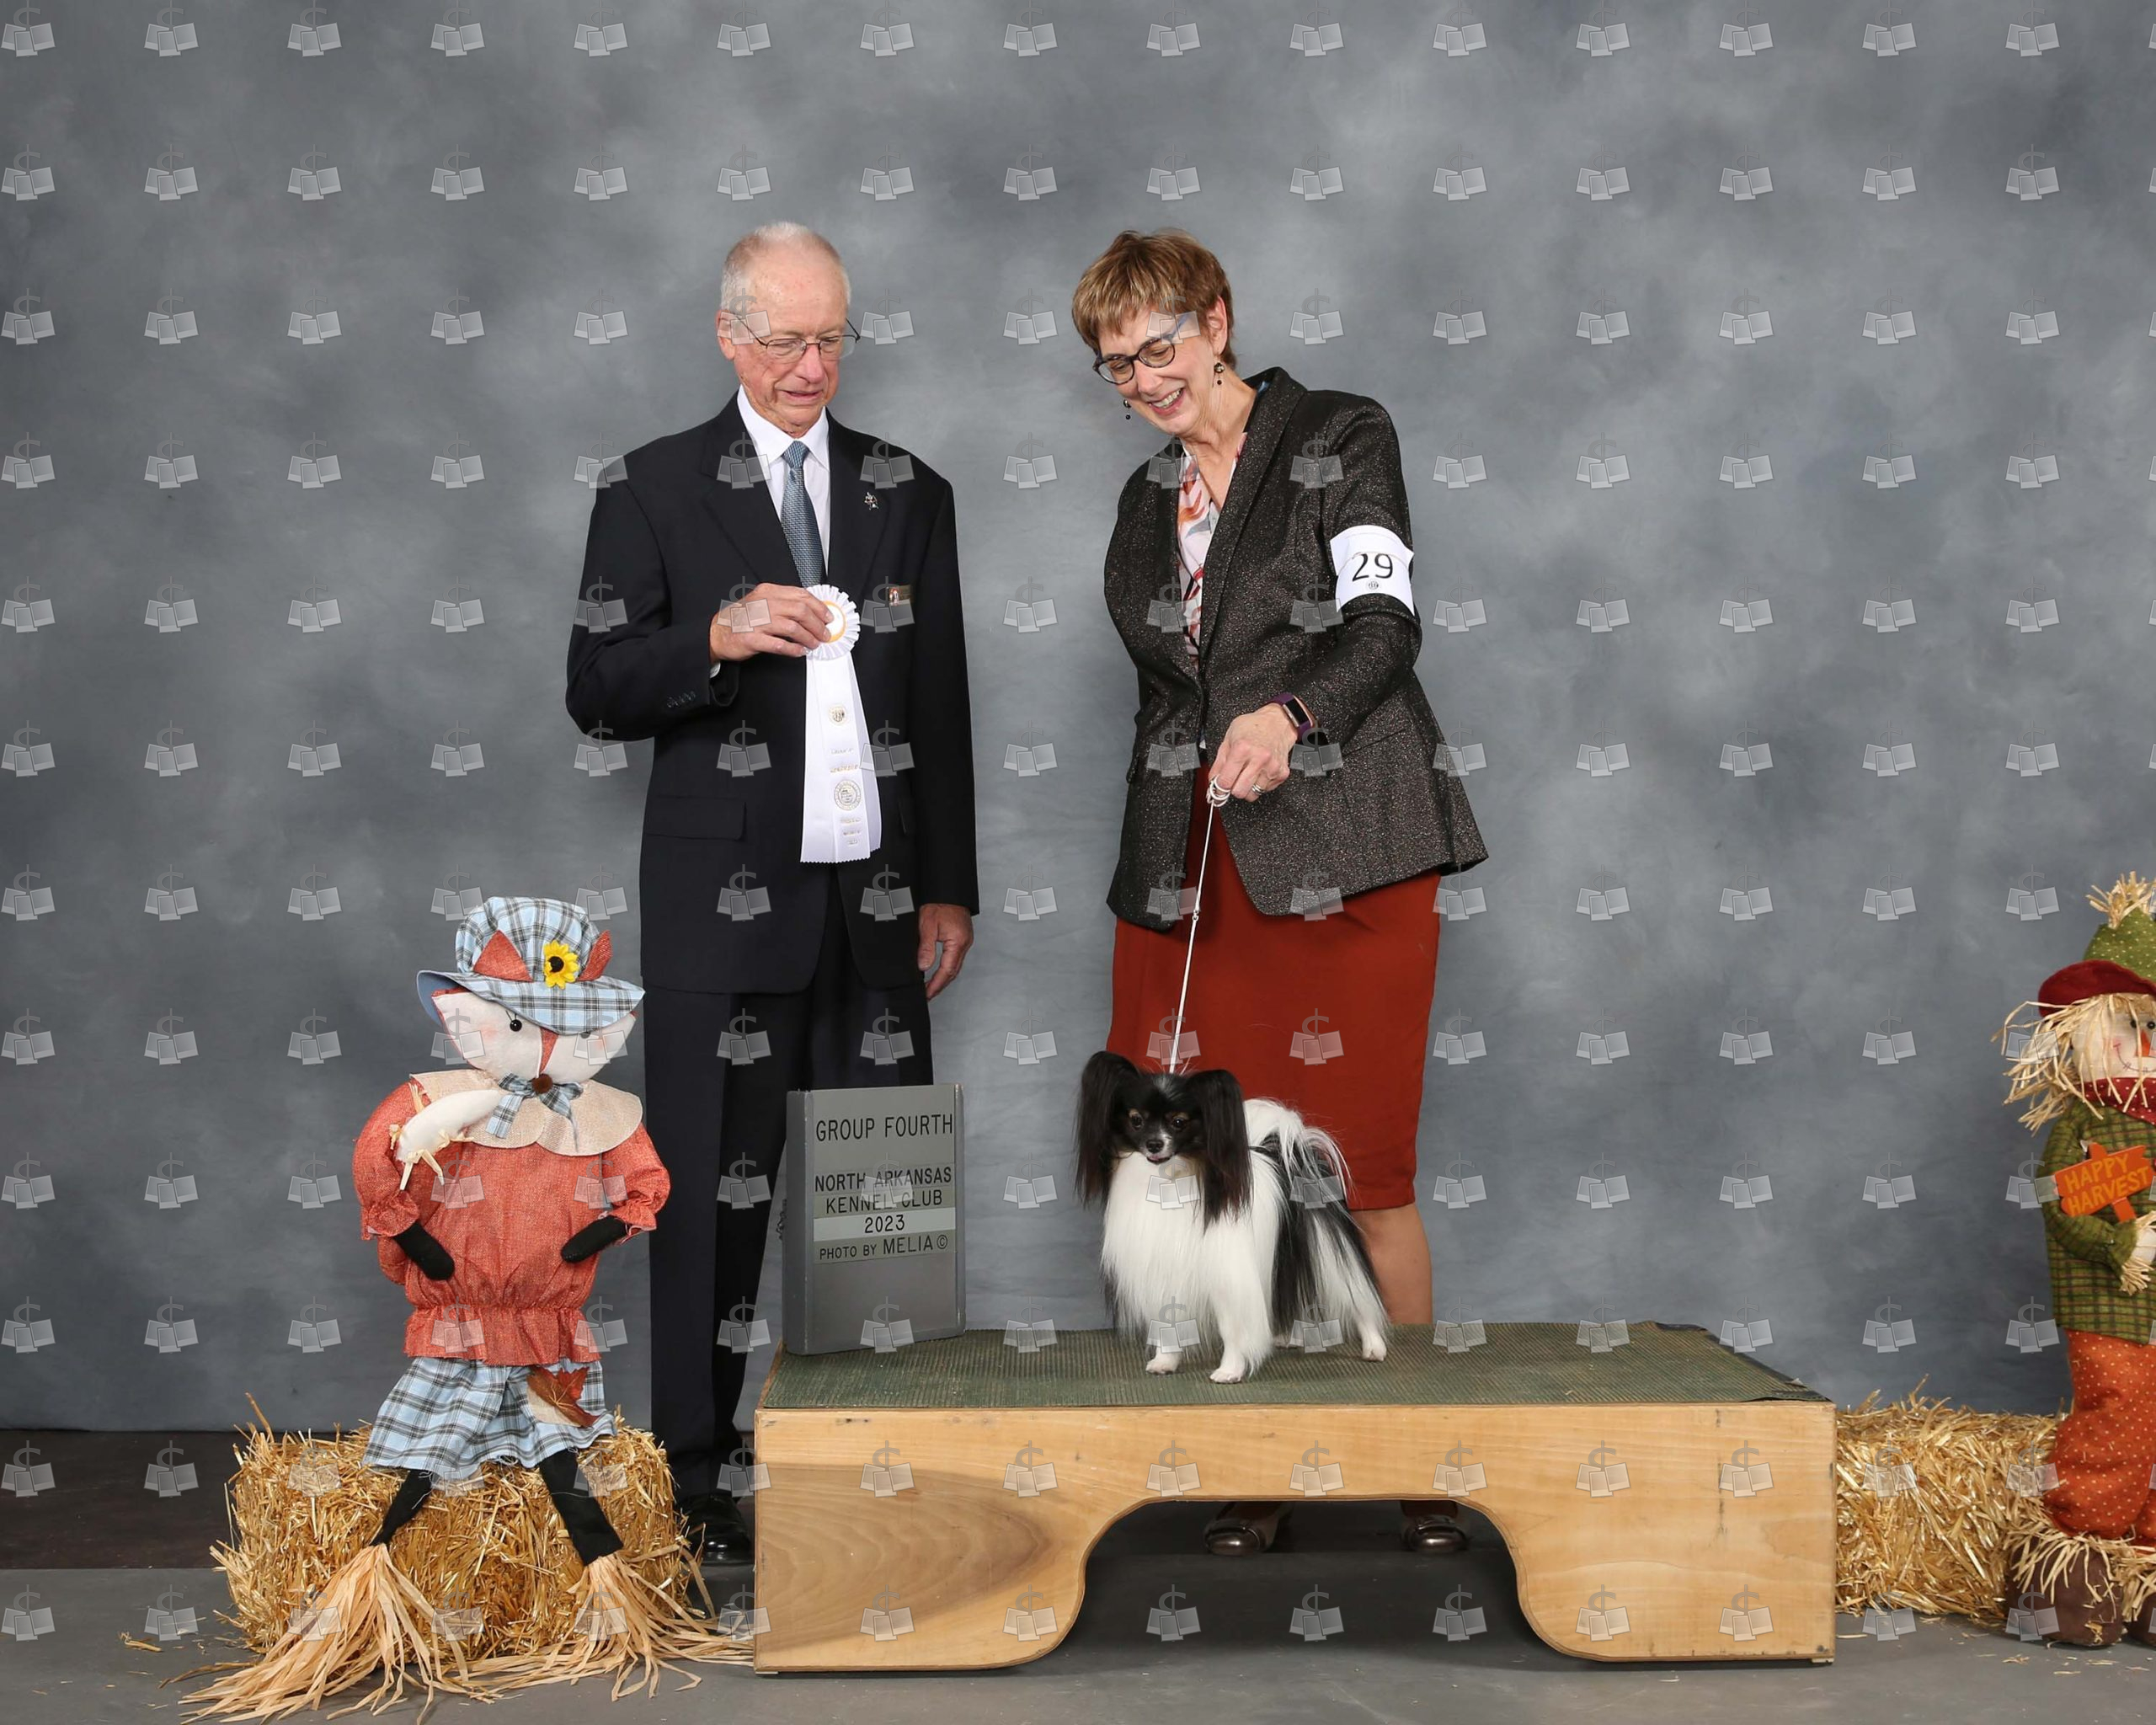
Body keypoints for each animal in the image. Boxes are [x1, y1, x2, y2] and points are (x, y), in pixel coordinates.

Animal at [1074, 1049, 1390, 1383]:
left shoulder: (1228, 1275)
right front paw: (1165, 1361)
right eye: (1136, 1120)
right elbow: (1169, 1325)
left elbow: (1232, 1329)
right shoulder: (1163, 1269)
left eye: (1178, 1122)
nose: (1154, 1144)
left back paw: (1374, 1347)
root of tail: (1291, 1155)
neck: (1169, 1180)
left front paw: (1230, 1370)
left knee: (1359, 1299)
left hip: (1329, 1253)